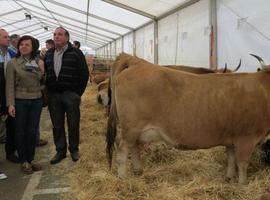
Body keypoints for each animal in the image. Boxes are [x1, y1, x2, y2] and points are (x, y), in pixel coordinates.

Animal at [106, 52, 270, 184]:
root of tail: (137, 61)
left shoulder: (232, 138)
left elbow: (231, 159)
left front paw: (229, 178)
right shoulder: (246, 138)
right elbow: (242, 163)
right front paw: (243, 184)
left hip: (136, 131)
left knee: (134, 147)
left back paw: (139, 171)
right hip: (131, 128)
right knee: (122, 149)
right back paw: (123, 178)